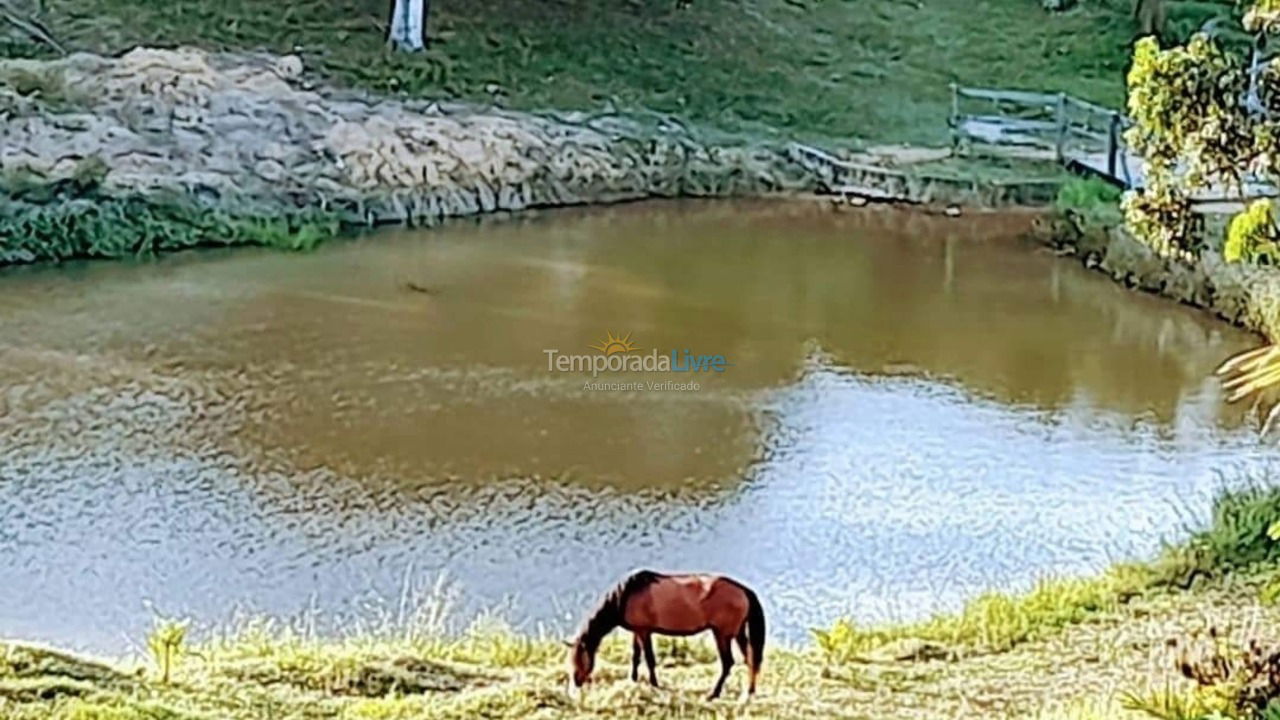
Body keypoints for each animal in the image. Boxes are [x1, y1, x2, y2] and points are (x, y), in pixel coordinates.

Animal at [568, 566, 762, 696]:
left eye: (579, 659)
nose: (576, 683)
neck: (626, 595)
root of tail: (744, 590)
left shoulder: (644, 631)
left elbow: (649, 659)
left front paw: (654, 685)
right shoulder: (637, 631)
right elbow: (636, 656)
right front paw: (633, 680)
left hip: (722, 635)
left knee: (728, 663)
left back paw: (714, 693)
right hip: (737, 633)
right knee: (750, 658)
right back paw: (749, 692)